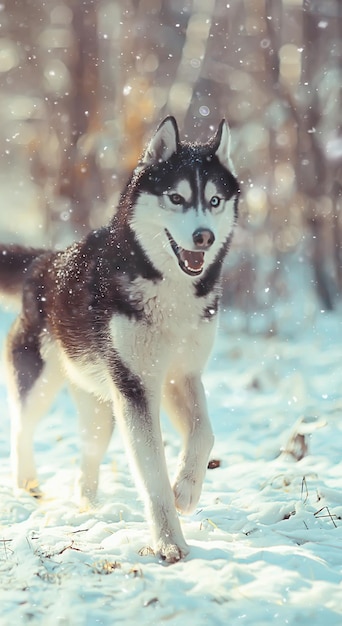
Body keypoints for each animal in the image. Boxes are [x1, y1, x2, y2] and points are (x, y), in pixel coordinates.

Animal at [0, 117, 238, 560]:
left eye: (214, 201)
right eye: (176, 197)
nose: (204, 238)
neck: (169, 289)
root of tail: (44, 260)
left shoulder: (180, 376)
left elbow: (205, 433)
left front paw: (186, 491)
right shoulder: (137, 385)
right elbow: (152, 473)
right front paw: (169, 542)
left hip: (101, 408)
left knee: (88, 455)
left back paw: (90, 506)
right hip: (39, 382)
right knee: (21, 430)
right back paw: (28, 488)